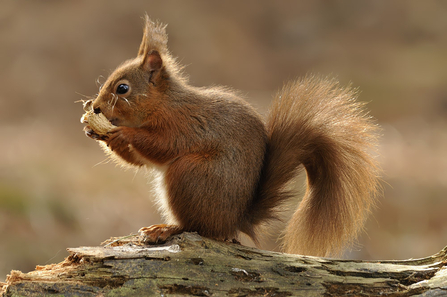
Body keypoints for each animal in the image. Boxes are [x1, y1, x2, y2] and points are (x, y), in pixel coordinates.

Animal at [82, 16, 380, 256]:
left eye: (123, 88)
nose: (95, 107)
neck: (164, 104)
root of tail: (235, 220)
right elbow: (139, 161)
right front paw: (95, 132)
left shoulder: (185, 126)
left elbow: (162, 146)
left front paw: (122, 133)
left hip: (189, 174)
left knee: (197, 227)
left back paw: (165, 229)